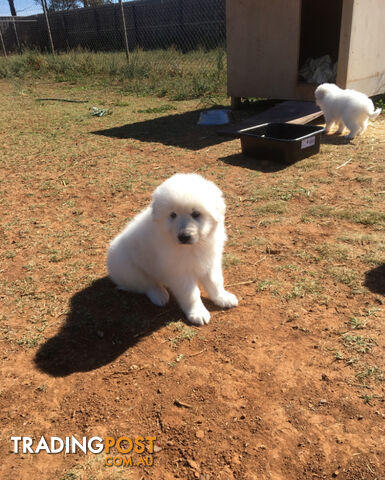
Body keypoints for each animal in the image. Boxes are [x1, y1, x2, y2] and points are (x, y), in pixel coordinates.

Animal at [106, 172, 237, 326]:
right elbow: (191, 294)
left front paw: (223, 298)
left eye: (196, 214)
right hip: (129, 269)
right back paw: (159, 295)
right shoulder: (179, 272)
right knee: (146, 285)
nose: (184, 236)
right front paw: (198, 313)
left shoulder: (210, 261)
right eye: (173, 215)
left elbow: (215, 282)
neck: (193, 247)